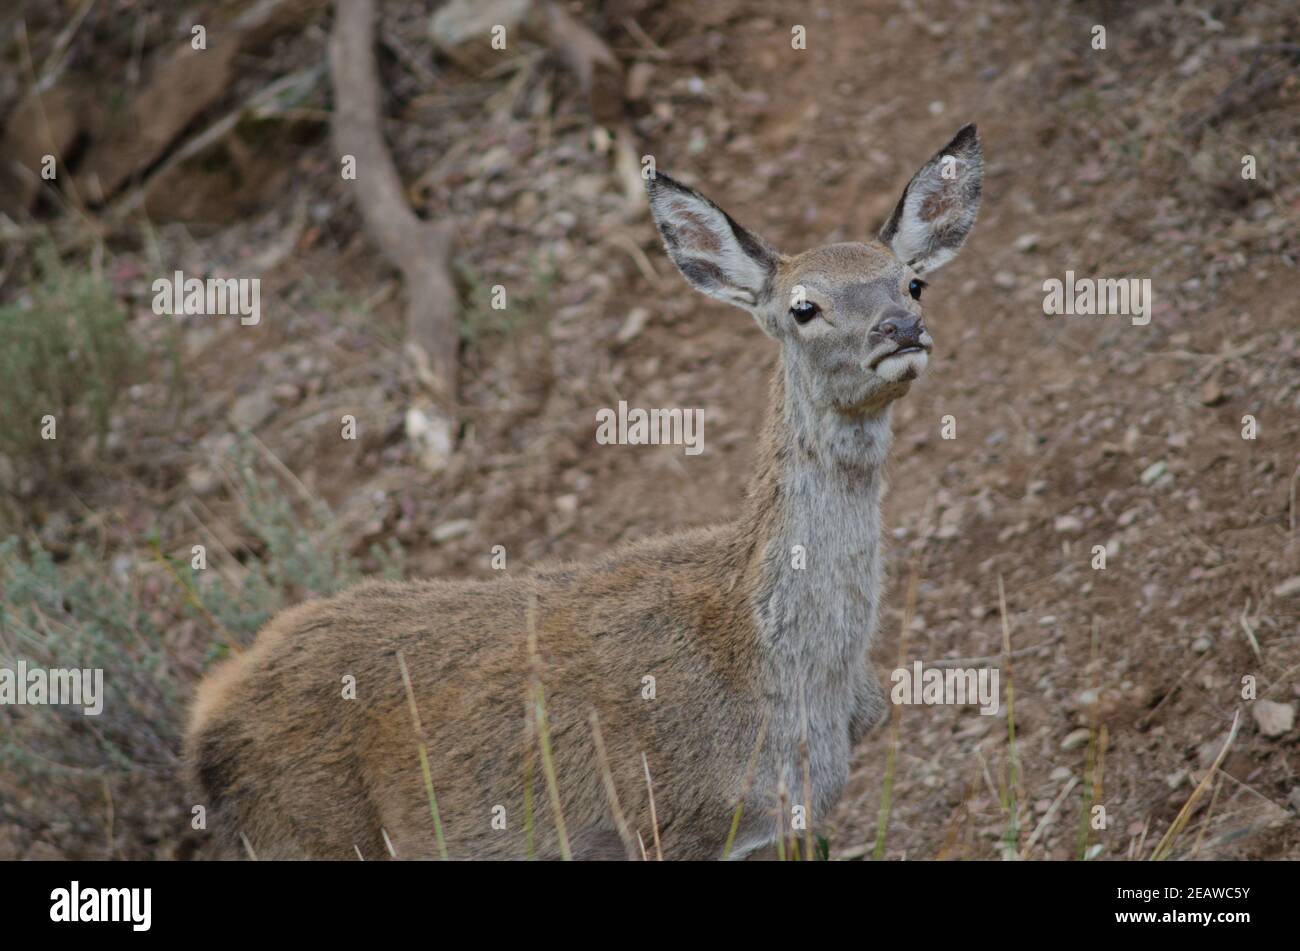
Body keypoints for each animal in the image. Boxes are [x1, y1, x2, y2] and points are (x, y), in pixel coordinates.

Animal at [185, 125, 984, 860]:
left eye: (913, 281)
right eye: (803, 307)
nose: (901, 327)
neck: (781, 676)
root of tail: (208, 713)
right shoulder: (667, 823)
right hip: (311, 834)